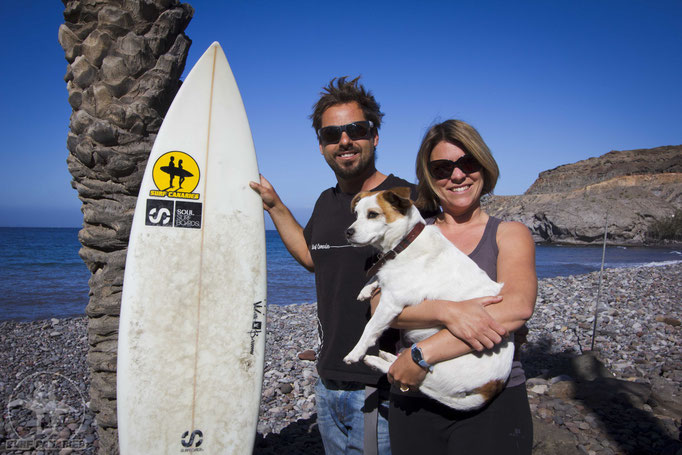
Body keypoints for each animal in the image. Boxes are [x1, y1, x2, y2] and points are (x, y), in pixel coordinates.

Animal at [346, 187, 510, 412]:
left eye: (372, 214)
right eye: (356, 214)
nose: (348, 232)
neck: (405, 243)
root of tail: (493, 386)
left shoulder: (390, 303)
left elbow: (369, 328)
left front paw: (355, 352)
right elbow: (378, 275)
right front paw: (367, 288)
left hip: (440, 364)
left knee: (415, 378)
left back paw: (376, 360)